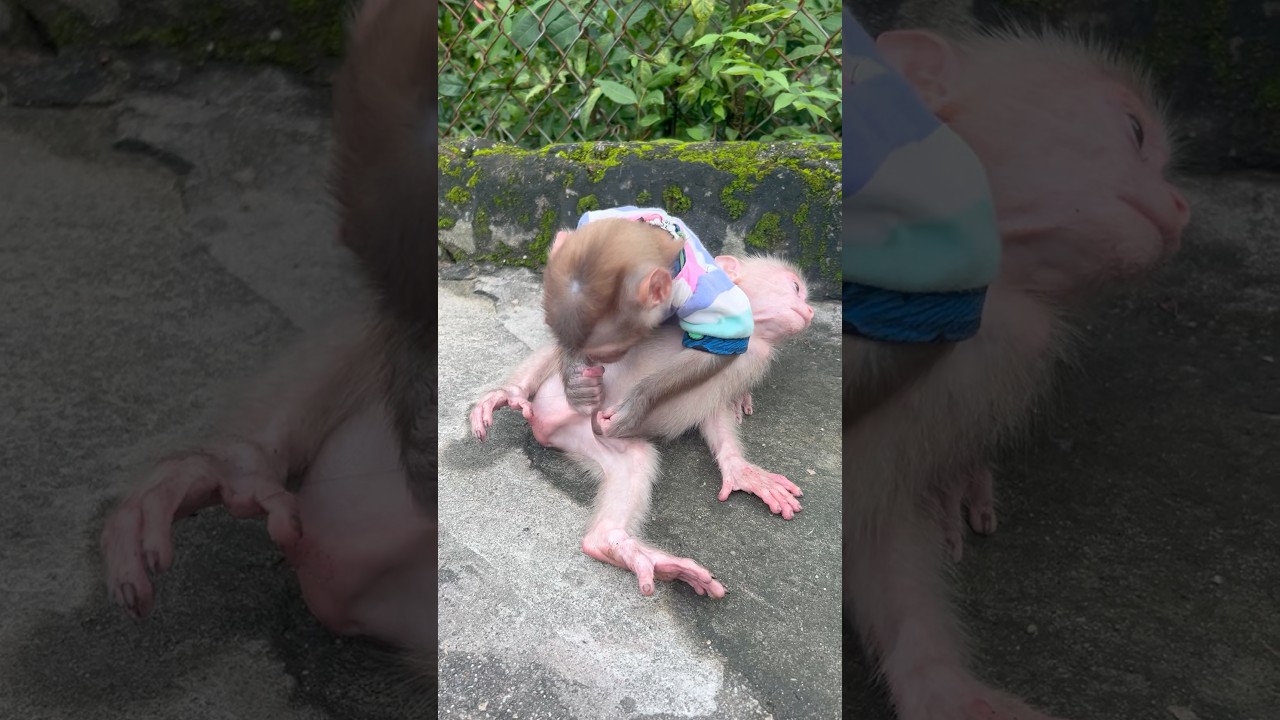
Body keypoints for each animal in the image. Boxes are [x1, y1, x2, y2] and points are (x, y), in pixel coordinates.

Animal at [471, 254, 815, 596]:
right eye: (796, 288)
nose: (810, 310)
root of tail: (545, 424)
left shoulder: (753, 358)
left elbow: (715, 412)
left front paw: (741, 469)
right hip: (556, 398)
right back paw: (514, 392)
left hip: (585, 435)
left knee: (635, 461)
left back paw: (618, 546)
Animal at [542, 206, 755, 439]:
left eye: (611, 352)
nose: (597, 359)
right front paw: (578, 385)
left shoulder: (701, 292)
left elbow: (716, 344)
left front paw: (636, 403)